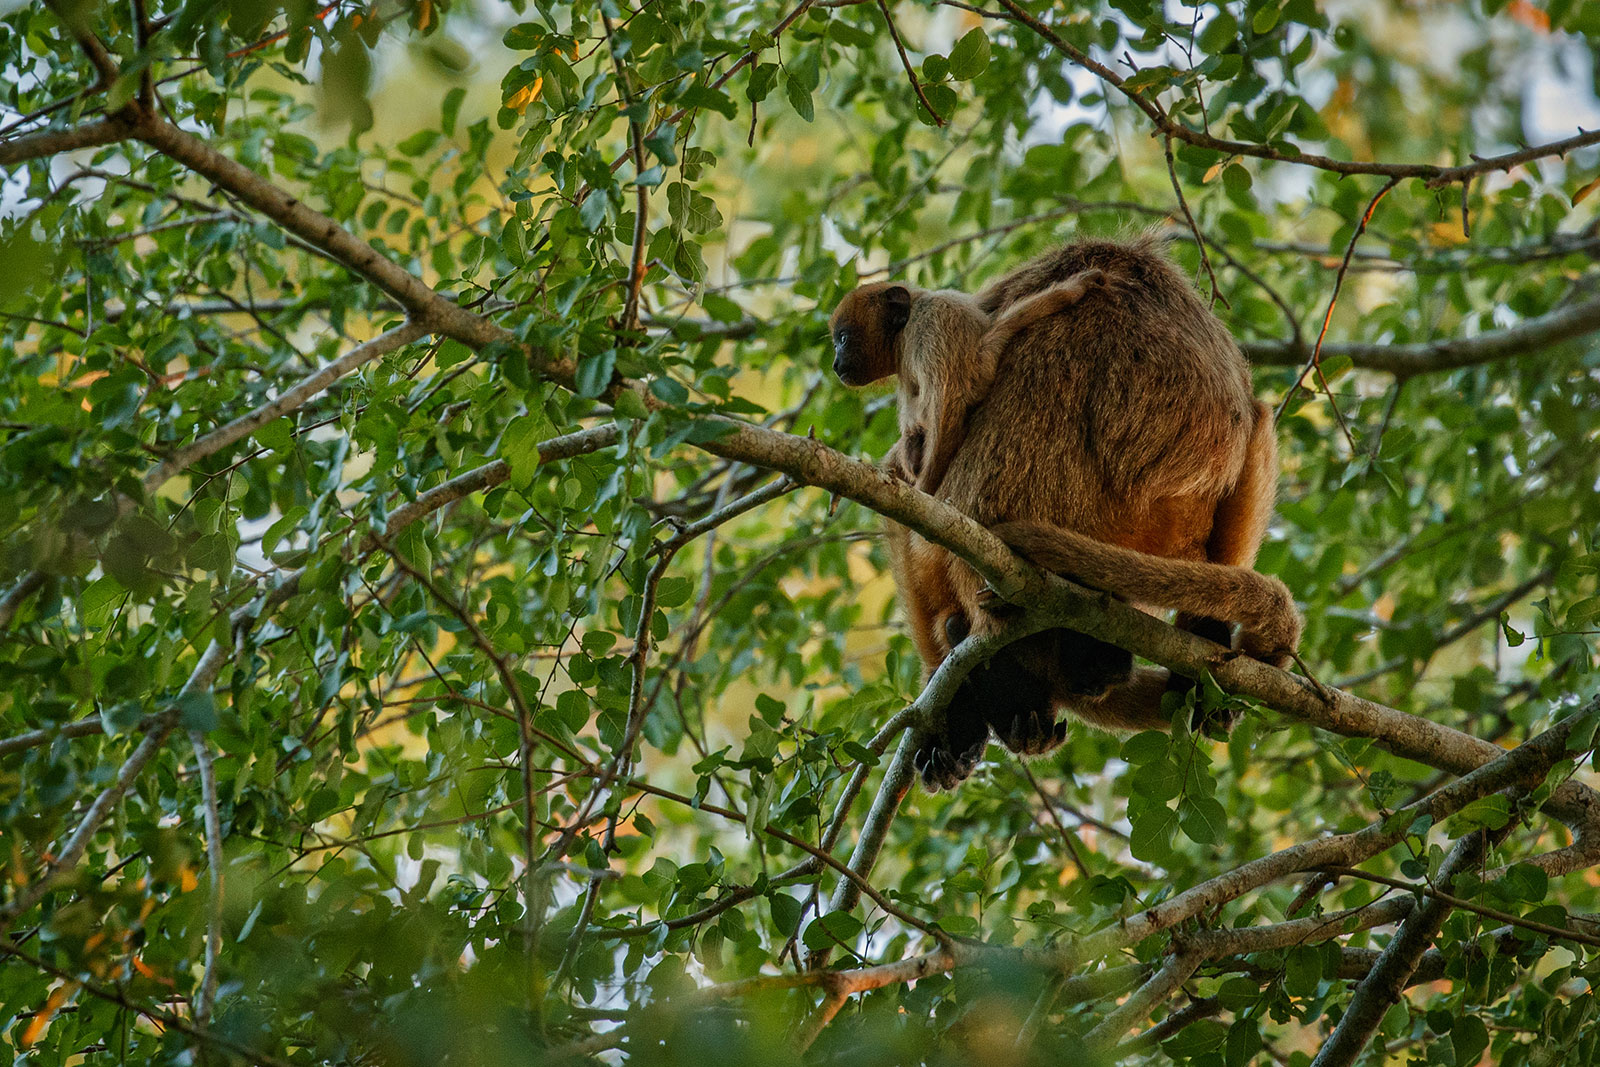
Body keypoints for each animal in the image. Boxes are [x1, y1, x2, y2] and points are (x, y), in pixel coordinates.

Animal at [832, 270, 1106, 493]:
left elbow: (948, 404)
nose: (835, 364)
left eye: (843, 339)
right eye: (836, 343)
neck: (903, 333)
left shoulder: (929, 320)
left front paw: (925, 490)